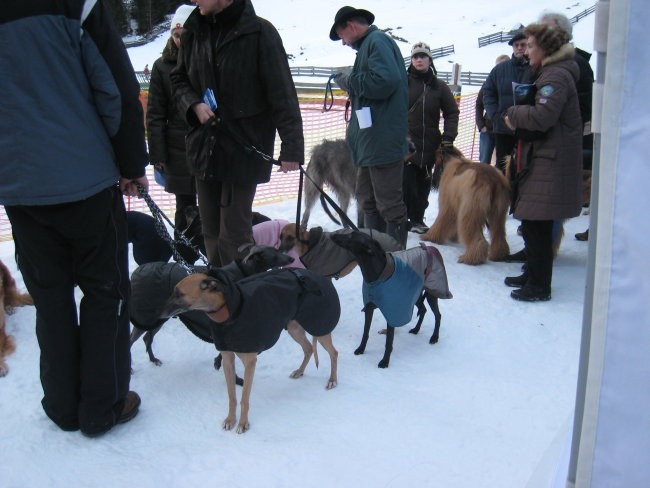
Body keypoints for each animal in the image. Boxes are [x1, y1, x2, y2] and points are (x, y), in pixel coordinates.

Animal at [161, 266, 340, 434]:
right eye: (174, 292)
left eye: (178, 293)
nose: (160, 313)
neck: (228, 315)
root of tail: (319, 276)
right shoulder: (227, 360)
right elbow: (232, 396)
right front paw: (230, 420)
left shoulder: (250, 362)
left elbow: (244, 398)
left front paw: (242, 424)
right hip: (294, 327)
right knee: (309, 348)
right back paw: (299, 371)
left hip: (319, 327)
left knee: (333, 353)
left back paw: (332, 380)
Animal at [330, 231, 450, 368]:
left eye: (351, 236)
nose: (332, 235)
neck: (376, 277)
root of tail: (430, 248)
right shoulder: (369, 308)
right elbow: (365, 332)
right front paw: (361, 349)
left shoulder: (392, 312)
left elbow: (388, 342)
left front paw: (385, 361)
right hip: (415, 294)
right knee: (423, 309)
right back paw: (416, 329)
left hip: (431, 293)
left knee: (438, 315)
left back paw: (434, 337)